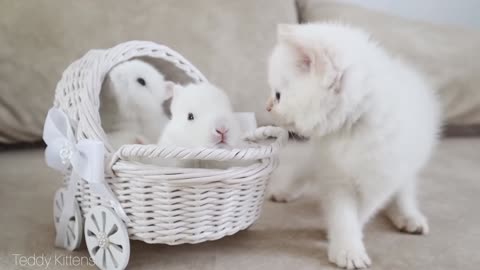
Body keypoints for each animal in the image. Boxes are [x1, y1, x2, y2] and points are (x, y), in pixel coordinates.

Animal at [268, 22, 440, 268]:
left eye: (278, 95)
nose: (267, 107)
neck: (353, 126)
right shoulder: (334, 172)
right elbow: (342, 212)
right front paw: (346, 247)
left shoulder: (383, 177)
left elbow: (364, 210)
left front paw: (343, 240)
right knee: (304, 170)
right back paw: (284, 192)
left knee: (404, 192)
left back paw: (408, 216)